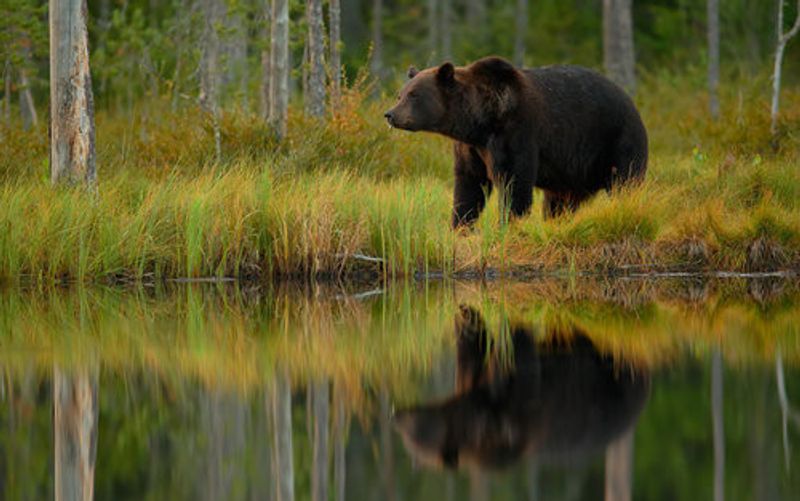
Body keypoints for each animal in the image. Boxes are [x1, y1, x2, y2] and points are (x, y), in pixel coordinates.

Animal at [384, 56, 648, 228]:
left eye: (414, 95)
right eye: (400, 94)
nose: (390, 114)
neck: (479, 122)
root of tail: (631, 101)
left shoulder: (515, 132)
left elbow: (514, 182)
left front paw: (508, 225)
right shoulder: (471, 148)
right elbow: (469, 185)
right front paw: (460, 226)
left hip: (616, 139)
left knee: (625, 182)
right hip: (571, 172)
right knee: (559, 202)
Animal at [393, 305, 650, 470]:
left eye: (411, 432)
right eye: (406, 440)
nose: (396, 415)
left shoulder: (518, 411)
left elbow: (518, 354)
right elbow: (473, 349)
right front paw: (466, 319)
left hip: (613, 377)